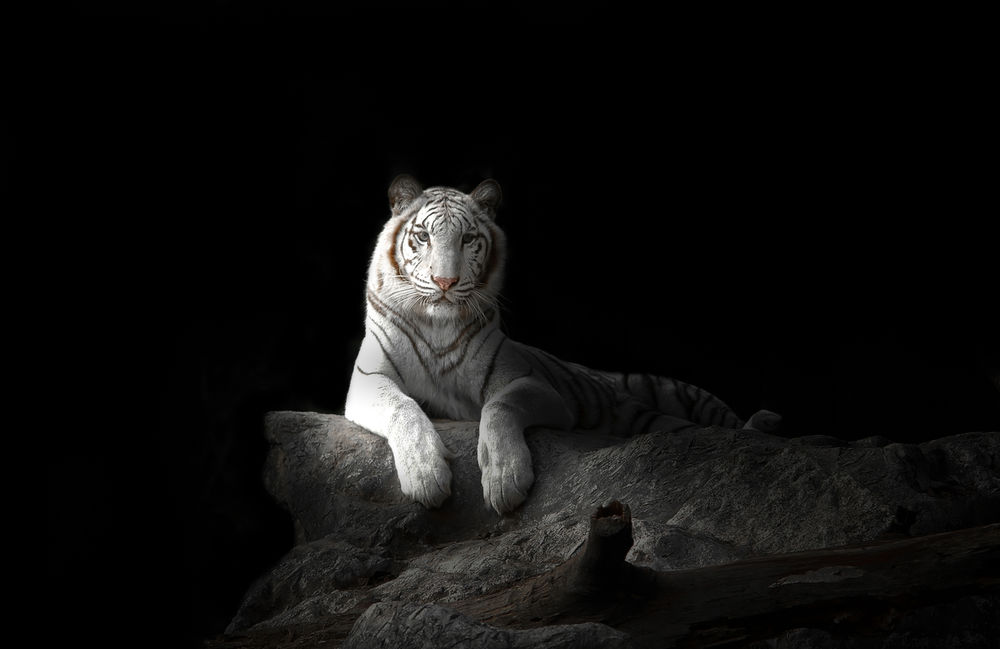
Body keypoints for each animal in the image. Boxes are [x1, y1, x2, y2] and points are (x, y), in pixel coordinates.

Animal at [344, 175, 781, 515]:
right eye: (422, 236)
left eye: (467, 238)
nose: (445, 282)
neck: (437, 324)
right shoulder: (368, 380)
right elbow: (404, 408)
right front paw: (426, 475)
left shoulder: (535, 385)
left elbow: (499, 406)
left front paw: (505, 479)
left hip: (684, 397)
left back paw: (763, 424)